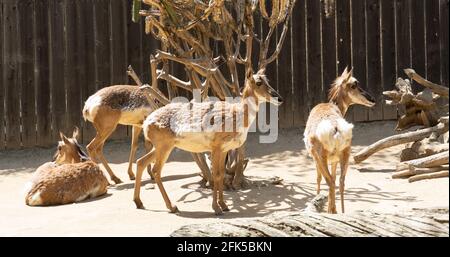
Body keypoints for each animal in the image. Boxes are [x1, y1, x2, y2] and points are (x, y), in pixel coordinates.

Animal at [132, 70, 284, 214]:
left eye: (268, 80)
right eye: (258, 82)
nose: (279, 98)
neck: (237, 115)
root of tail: (146, 122)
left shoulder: (224, 150)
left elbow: (221, 174)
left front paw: (224, 206)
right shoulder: (216, 148)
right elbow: (215, 174)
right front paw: (216, 208)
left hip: (160, 147)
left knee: (140, 162)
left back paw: (139, 202)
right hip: (164, 147)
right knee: (156, 170)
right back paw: (172, 207)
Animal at [302, 67, 376, 213]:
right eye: (354, 85)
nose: (372, 99)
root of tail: (335, 127)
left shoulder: (316, 159)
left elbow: (318, 178)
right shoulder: (334, 160)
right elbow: (335, 178)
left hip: (322, 157)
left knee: (329, 181)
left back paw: (332, 211)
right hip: (345, 155)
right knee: (341, 182)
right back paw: (341, 212)